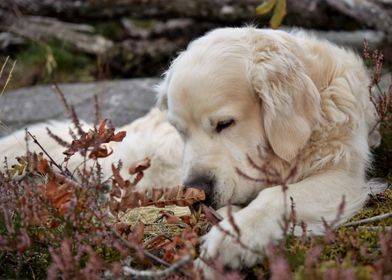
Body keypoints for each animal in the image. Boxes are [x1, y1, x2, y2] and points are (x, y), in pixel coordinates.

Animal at [0, 27, 384, 276]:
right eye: (181, 130)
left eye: (225, 123)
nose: (198, 191)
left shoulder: (342, 174)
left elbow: (276, 196)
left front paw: (235, 238)